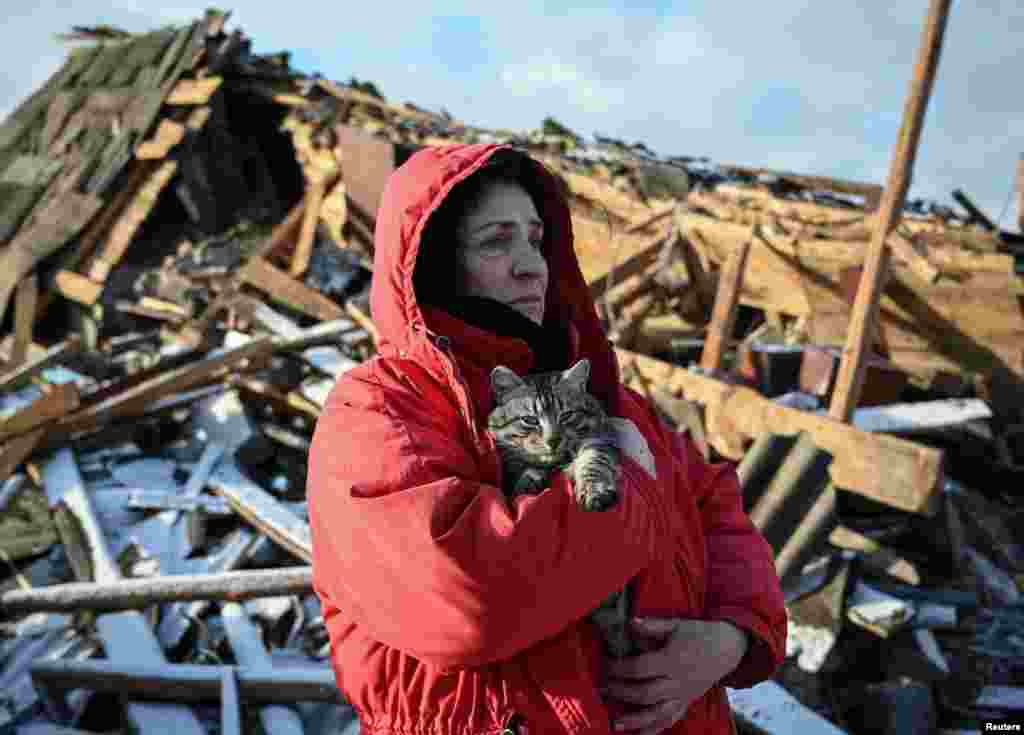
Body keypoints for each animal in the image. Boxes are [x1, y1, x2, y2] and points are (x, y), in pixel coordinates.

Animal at [485, 360, 634, 659]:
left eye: (566, 416)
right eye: (530, 420)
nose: (553, 440)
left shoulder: (600, 439)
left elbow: (593, 462)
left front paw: (595, 492)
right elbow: (524, 474)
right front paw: (529, 483)